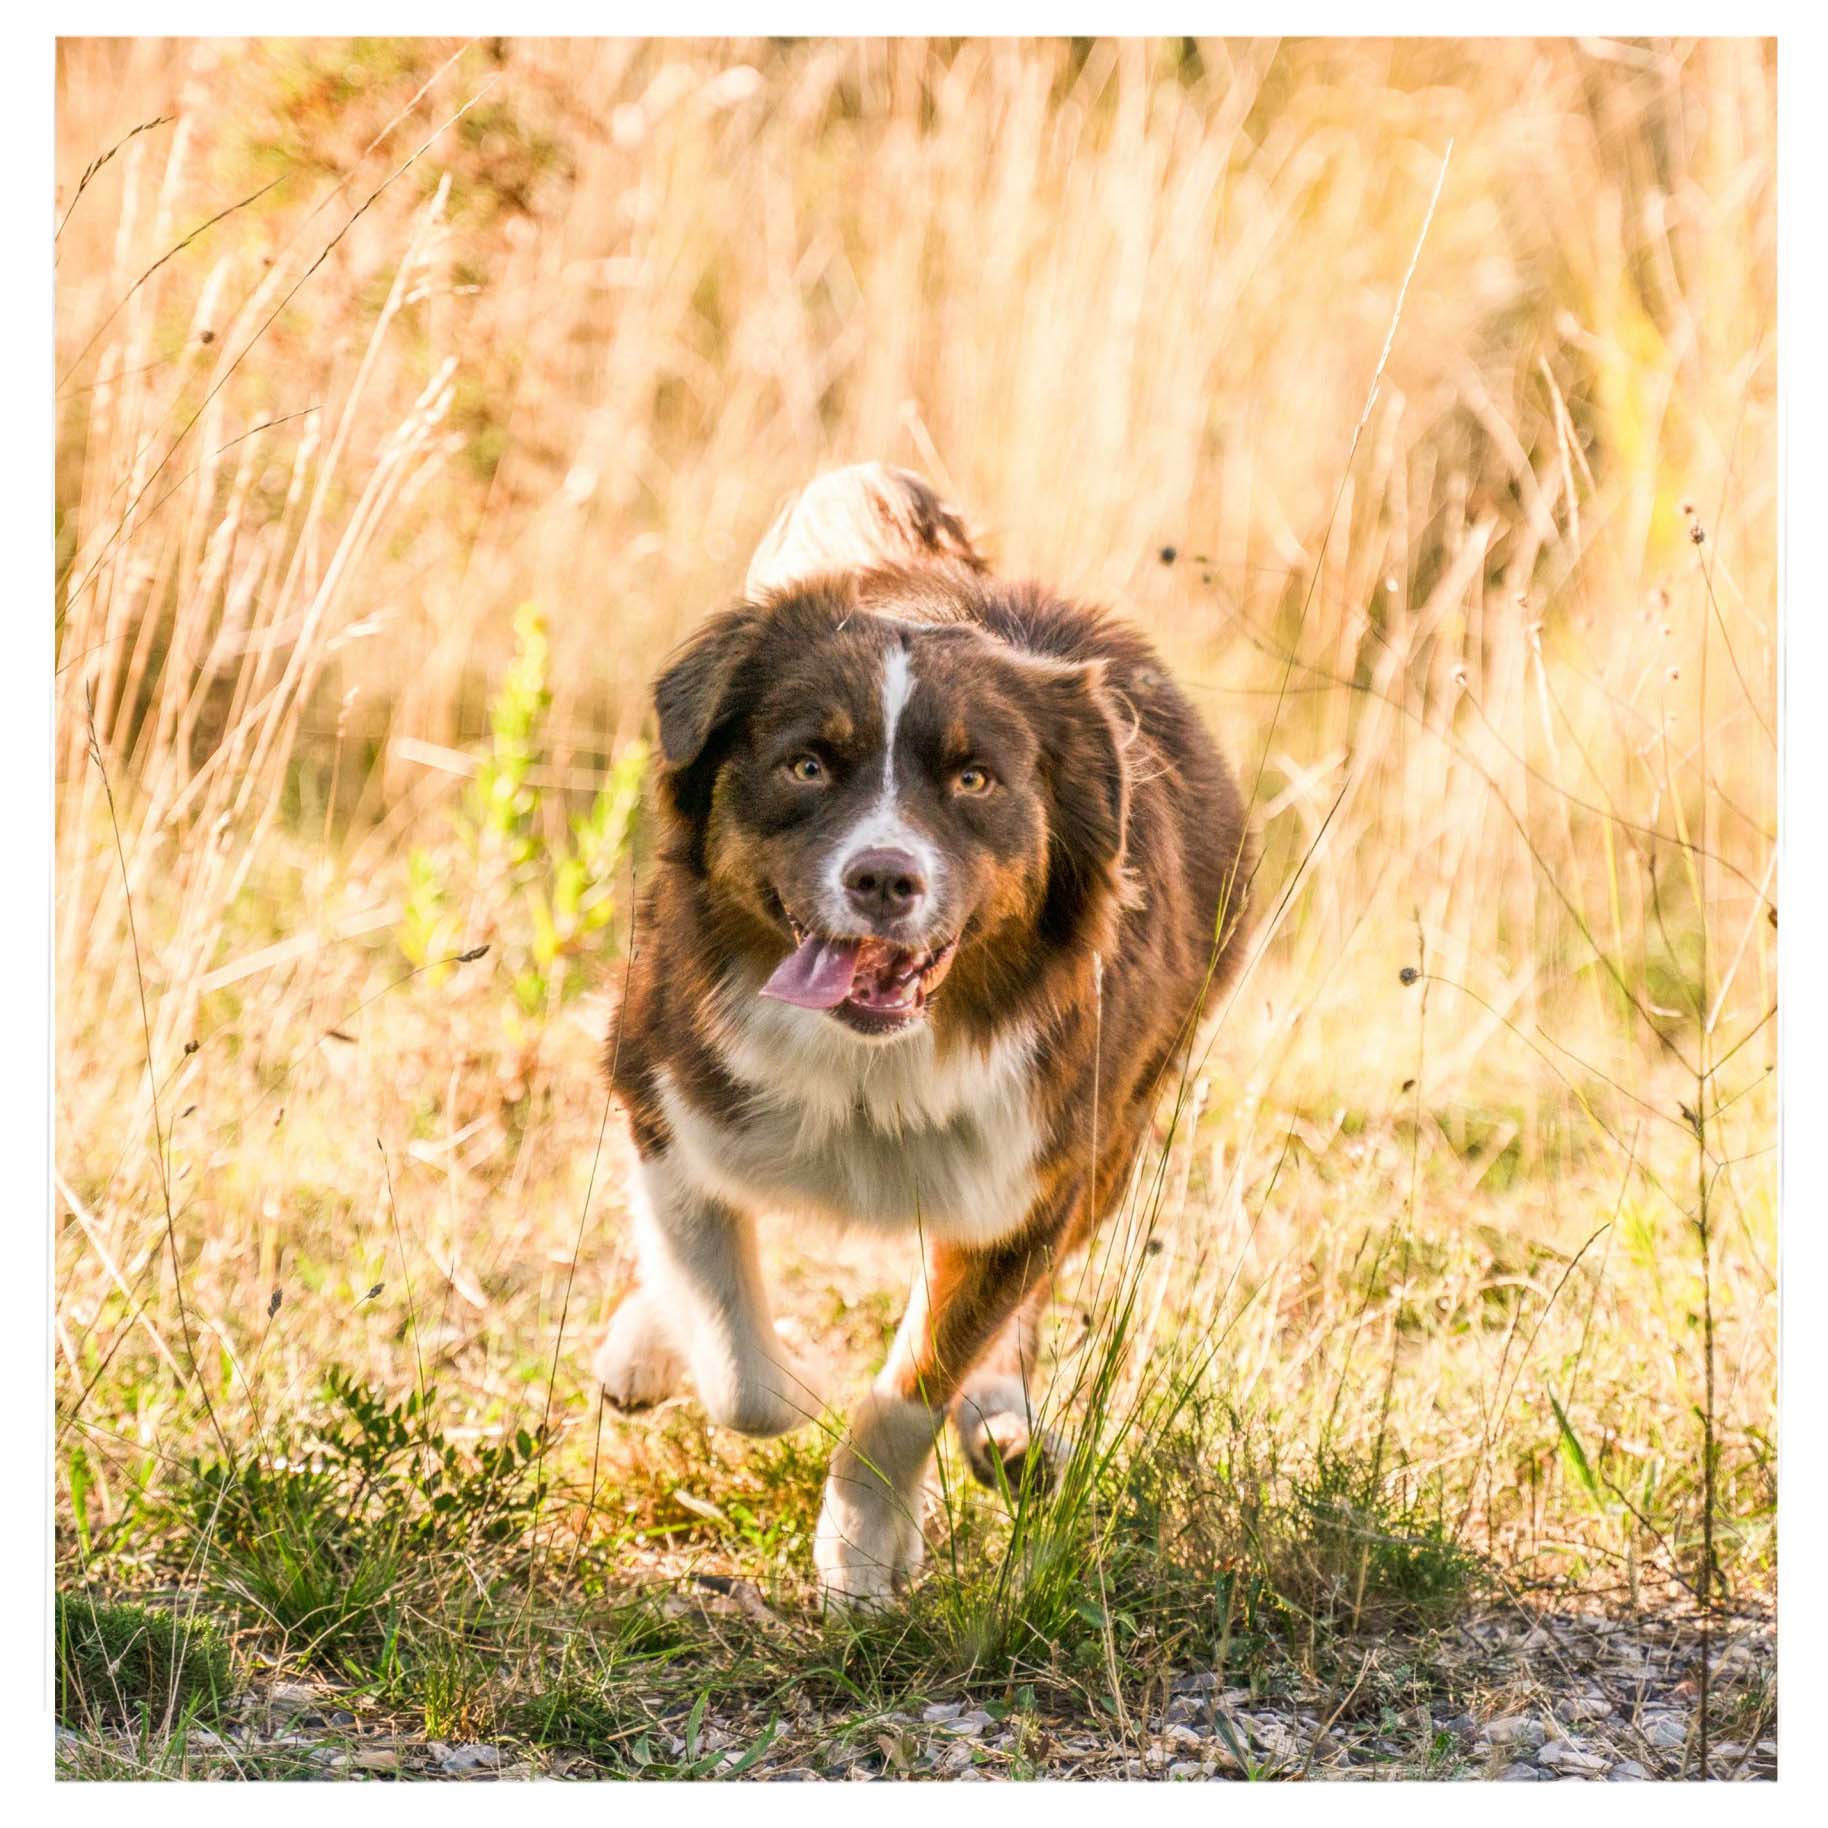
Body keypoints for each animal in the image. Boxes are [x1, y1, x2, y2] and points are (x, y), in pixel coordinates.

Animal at [592, 467, 1250, 1601]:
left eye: (974, 780)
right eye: (809, 765)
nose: (884, 878)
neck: (867, 1065)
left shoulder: (1027, 1177)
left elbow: (914, 1386)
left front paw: (863, 1552)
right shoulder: (667, 1102)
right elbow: (734, 1356)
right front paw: (788, 1380)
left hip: (1110, 1140)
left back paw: (1004, 1425)